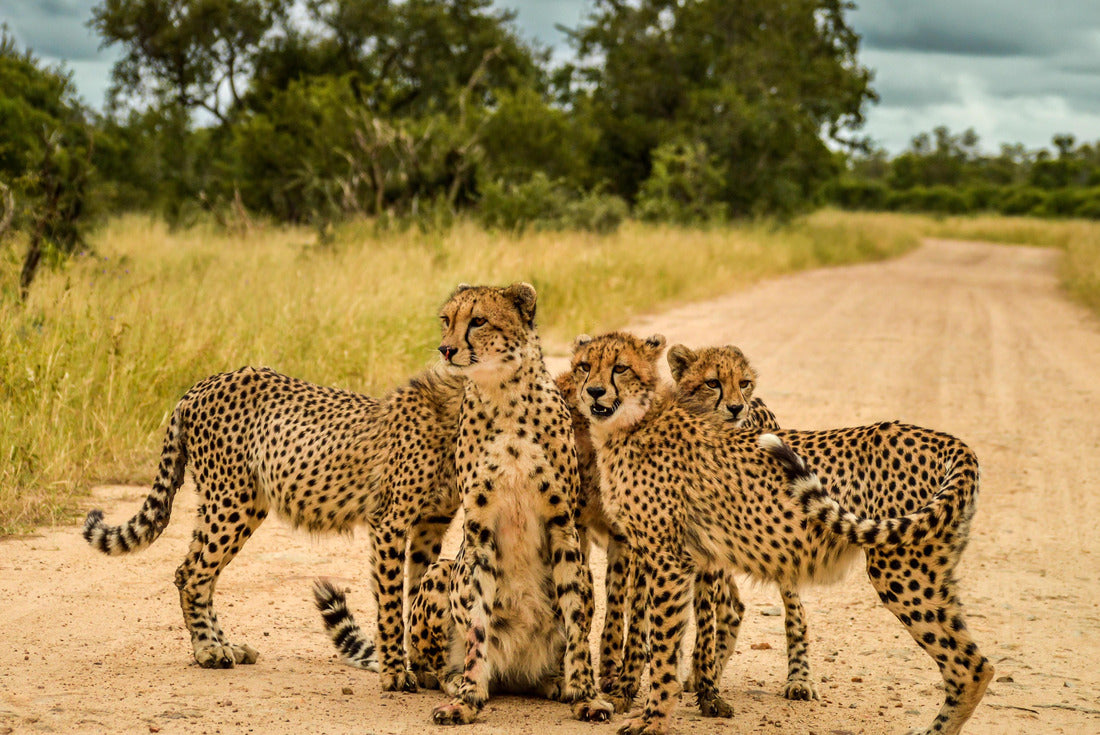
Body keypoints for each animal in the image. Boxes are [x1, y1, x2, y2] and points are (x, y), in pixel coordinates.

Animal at [83, 363, 465, 693]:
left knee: (193, 572)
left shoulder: (431, 525)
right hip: (233, 501)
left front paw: (424, 667)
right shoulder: (390, 522)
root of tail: (201, 385)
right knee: (194, 576)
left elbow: (417, 593)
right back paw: (208, 651)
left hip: (226, 504)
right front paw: (396, 674)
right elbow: (391, 602)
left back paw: (227, 646)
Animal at [569, 331, 992, 735]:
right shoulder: (654, 553)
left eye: (621, 368)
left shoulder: (670, 561)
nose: (594, 392)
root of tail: (948, 440)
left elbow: (664, 646)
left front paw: (653, 720)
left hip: (902, 570)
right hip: (928, 568)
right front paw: (632, 695)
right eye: (585, 366)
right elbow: (646, 628)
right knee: (973, 661)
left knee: (971, 664)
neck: (633, 421)